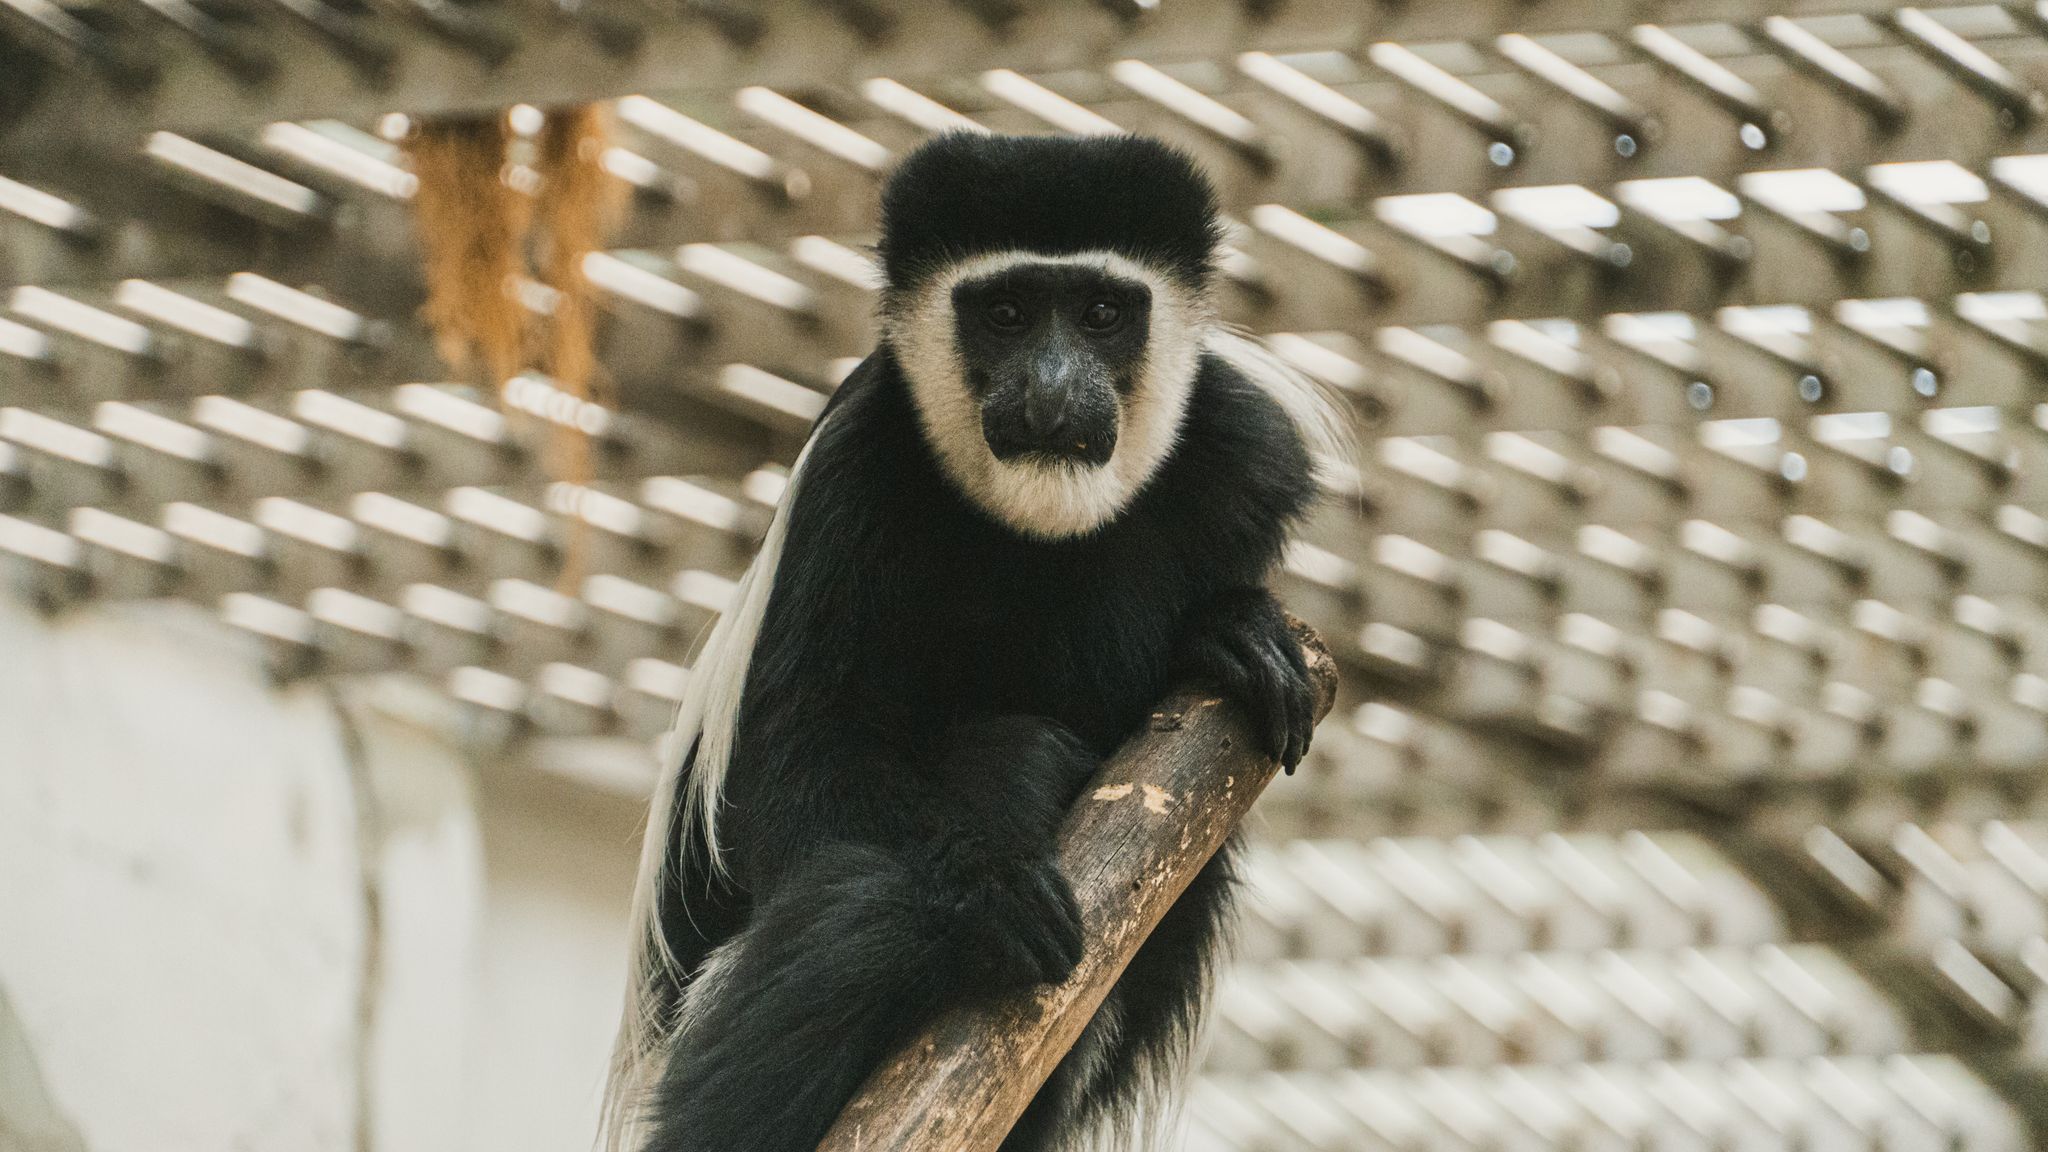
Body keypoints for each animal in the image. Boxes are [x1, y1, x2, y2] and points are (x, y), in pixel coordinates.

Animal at [602, 131, 1348, 1152]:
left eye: (1103, 313)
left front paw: (1234, 633)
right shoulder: (850, 480)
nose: (1051, 391)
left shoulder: (1246, 450)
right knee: (867, 894)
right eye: (1005, 312)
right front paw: (984, 890)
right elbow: (794, 771)